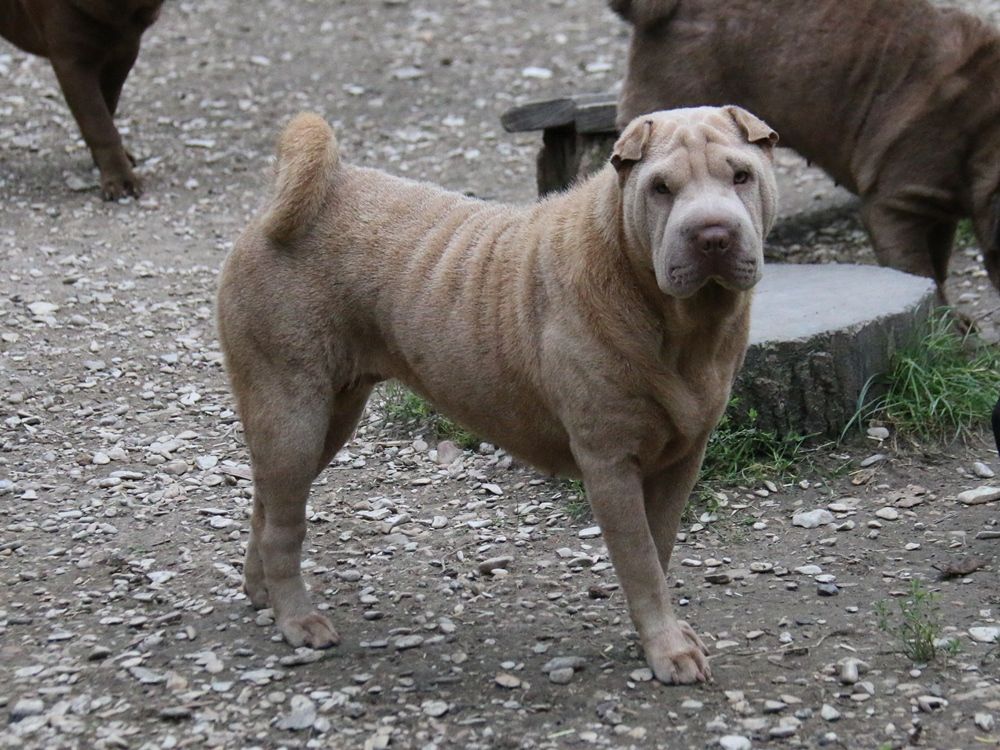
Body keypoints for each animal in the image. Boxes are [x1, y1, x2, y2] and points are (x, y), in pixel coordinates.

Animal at [219, 107, 780, 688]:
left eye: (741, 175)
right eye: (661, 188)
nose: (712, 235)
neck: (678, 326)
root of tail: (307, 193)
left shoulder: (681, 459)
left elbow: (660, 546)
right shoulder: (610, 463)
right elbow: (641, 562)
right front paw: (667, 649)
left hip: (331, 415)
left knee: (267, 501)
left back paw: (261, 591)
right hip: (294, 411)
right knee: (284, 523)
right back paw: (296, 619)